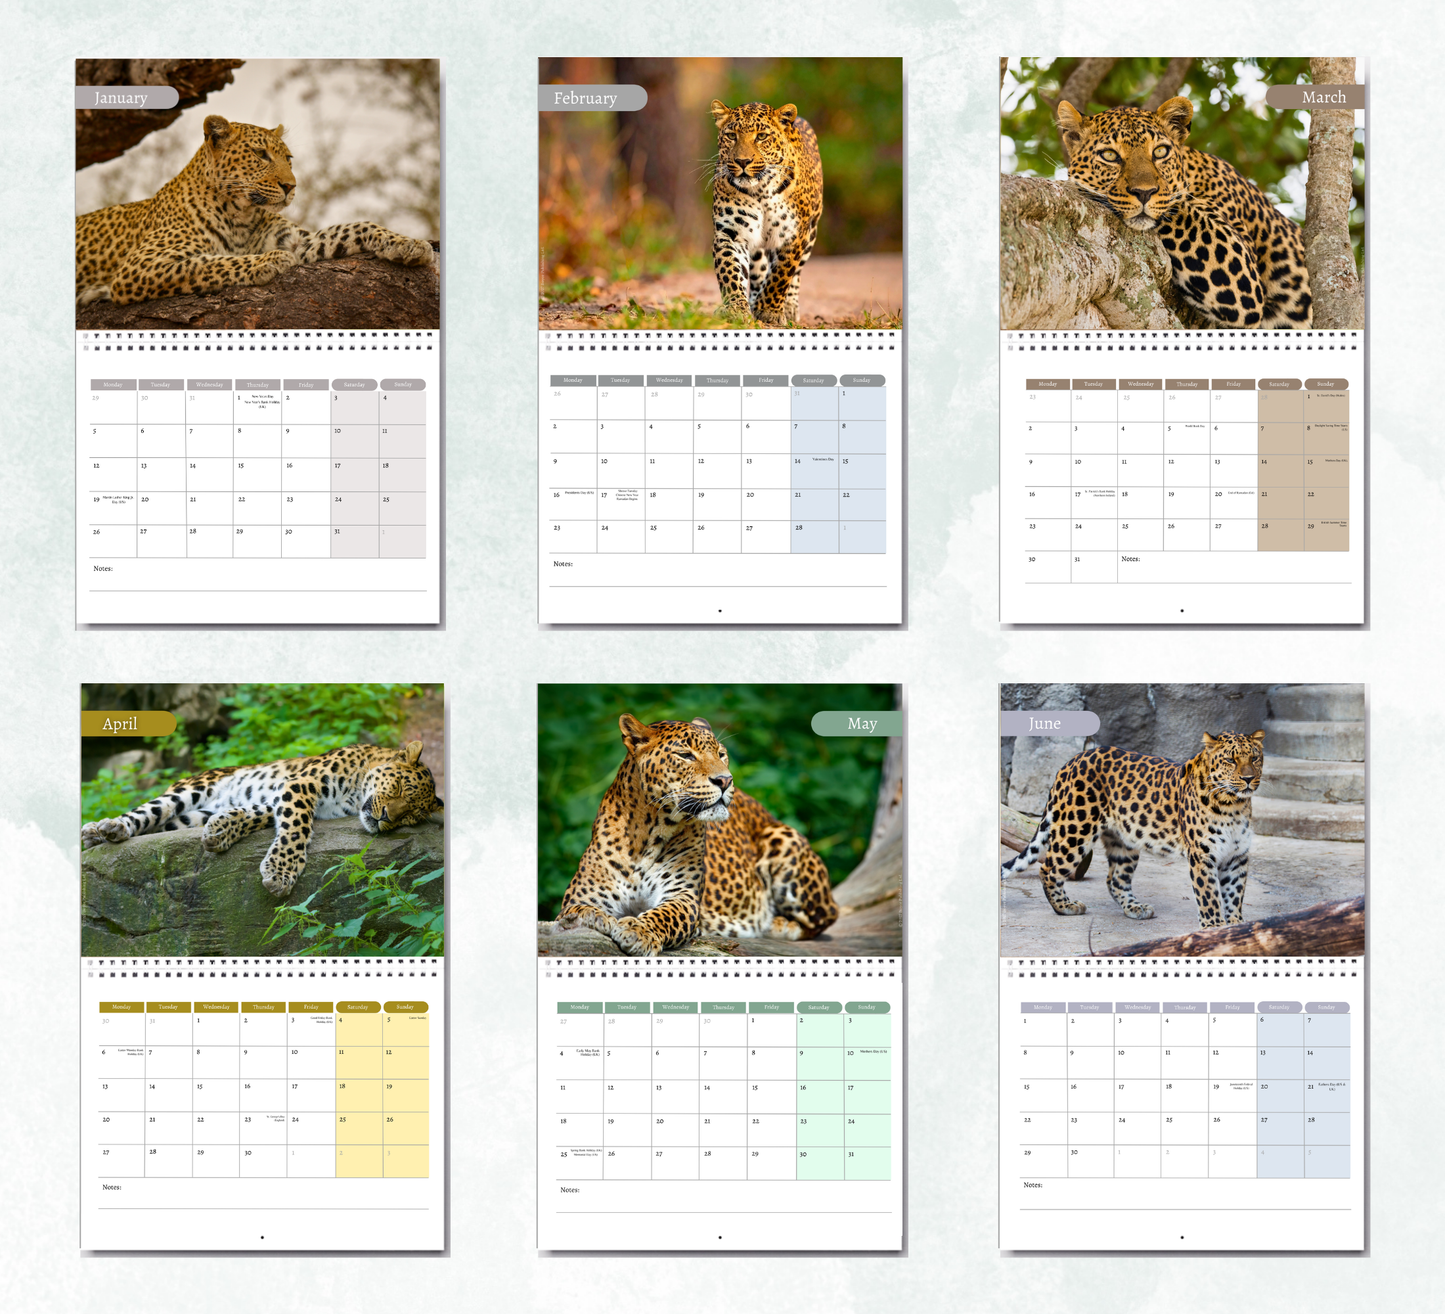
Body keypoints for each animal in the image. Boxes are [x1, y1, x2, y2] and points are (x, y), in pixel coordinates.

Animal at [76, 115, 435, 308]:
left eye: (288, 158)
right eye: (260, 154)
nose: (291, 186)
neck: (241, 215)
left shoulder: (298, 241)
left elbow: (352, 228)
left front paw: (408, 243)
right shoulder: (138, 267)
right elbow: (206, 264)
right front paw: (268, 261)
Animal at [80, 741, 443, 897]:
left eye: (410, 817)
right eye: (399, 787)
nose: (385, 819)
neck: (354, 794)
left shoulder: (280, 795)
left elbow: (257, 815)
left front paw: (221, 830)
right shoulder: (300, 784)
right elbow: (296, 828)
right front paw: (282, 873)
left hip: (189, 816)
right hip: (187, 791)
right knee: (147, 811)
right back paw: (104, 828)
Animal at [554, 714, 839, 956]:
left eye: (721, 754)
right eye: (685, 755)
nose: (725, 780)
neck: (647, 832)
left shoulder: (683, 896)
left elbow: (664, 915)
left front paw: (638, 931)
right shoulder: (584, 894)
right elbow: (576, 909)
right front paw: (591, 917)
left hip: (783, 838)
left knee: (826, 915)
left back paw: (778, 924)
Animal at [709, 99, 823, 326]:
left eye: (761, 136)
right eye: (731, 135)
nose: (742, 161)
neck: (761, 190)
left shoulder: (795, 235)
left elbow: (781, 275)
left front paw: (769, 310)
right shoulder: (731, 232)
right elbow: (730, 271)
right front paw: (736, 309)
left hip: (811, 235)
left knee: (796, 274)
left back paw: (789, 308)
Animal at [1000, 730, 1266, 928]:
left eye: (1254, 758)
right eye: (1230, 760)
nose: (1248, 779)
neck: (1234, 806)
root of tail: (1072, 760)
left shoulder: (1237, 855)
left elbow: (1234, 893)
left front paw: (1235, 926)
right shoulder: (1203, 855)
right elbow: (1209, 895)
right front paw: (1215, 929)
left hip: (1123, 841)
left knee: (1115, 879)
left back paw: (1136, 908)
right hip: (1075, 829)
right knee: (1048, 868)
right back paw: (1065, 906)